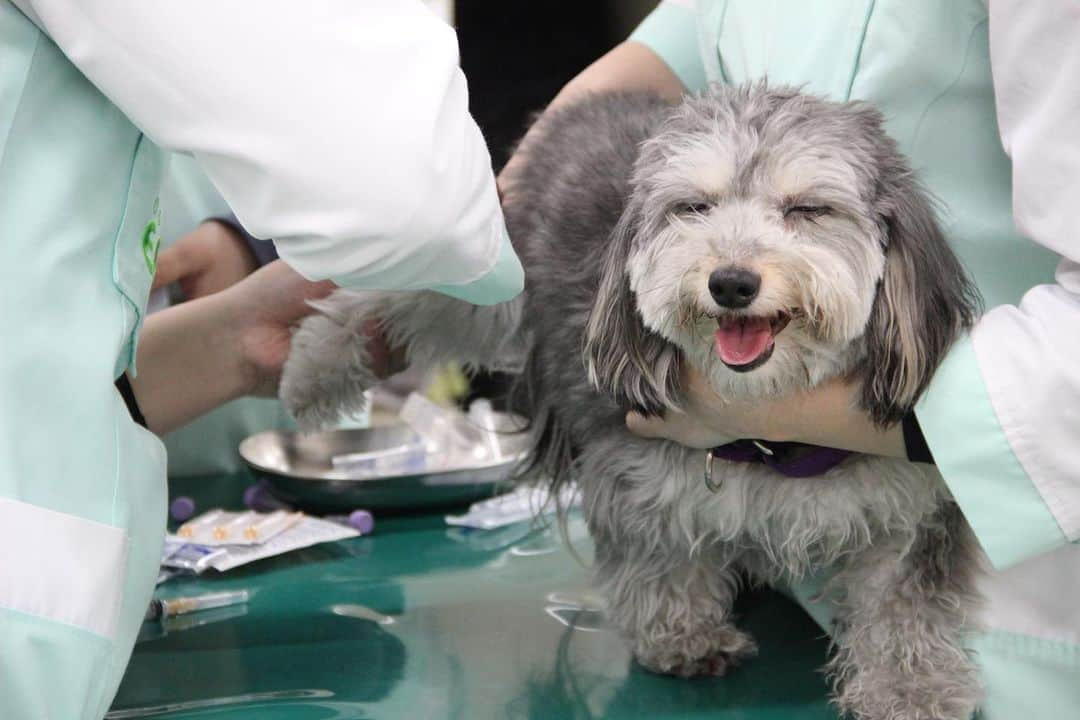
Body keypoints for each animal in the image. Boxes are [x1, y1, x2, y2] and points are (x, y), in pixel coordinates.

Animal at [280, 85, 989, 720]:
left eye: (808, 209)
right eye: (694, 207)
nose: (731, 282)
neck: (774, 426)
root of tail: (590, 104)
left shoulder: (913, 507)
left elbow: (903, 608)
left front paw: (910, 692)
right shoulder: (635, 469)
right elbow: (660, 557)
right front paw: (684, 637)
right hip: (496, 284)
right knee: (393, 296)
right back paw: (311, 370)